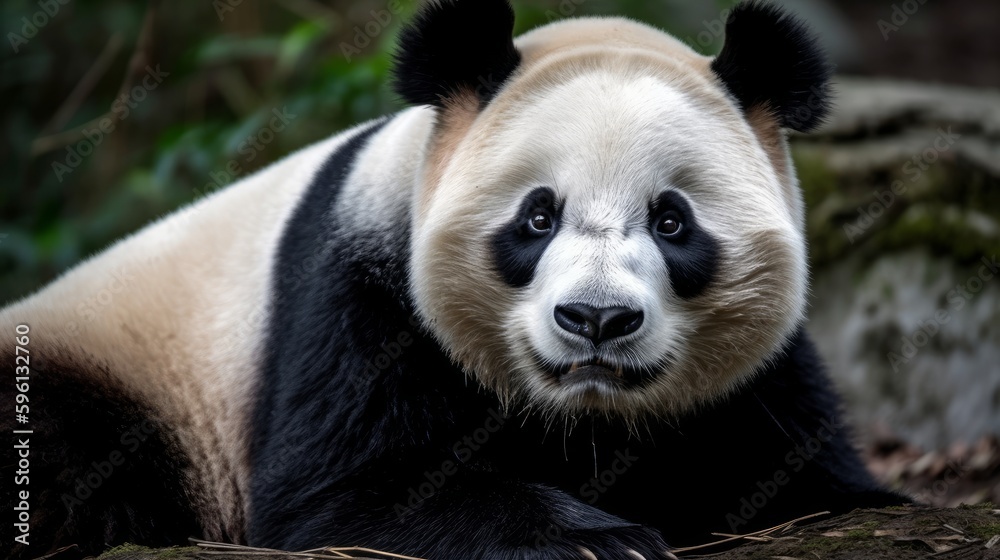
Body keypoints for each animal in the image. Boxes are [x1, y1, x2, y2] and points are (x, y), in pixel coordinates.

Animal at [2, 1, 906, 558]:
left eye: (672, 221)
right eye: (538, 217)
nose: (596, 321)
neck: (584, 420)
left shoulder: (758, 377)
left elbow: (805, 467)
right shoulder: (361, 294)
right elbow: (342, 492)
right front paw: (594, 536)